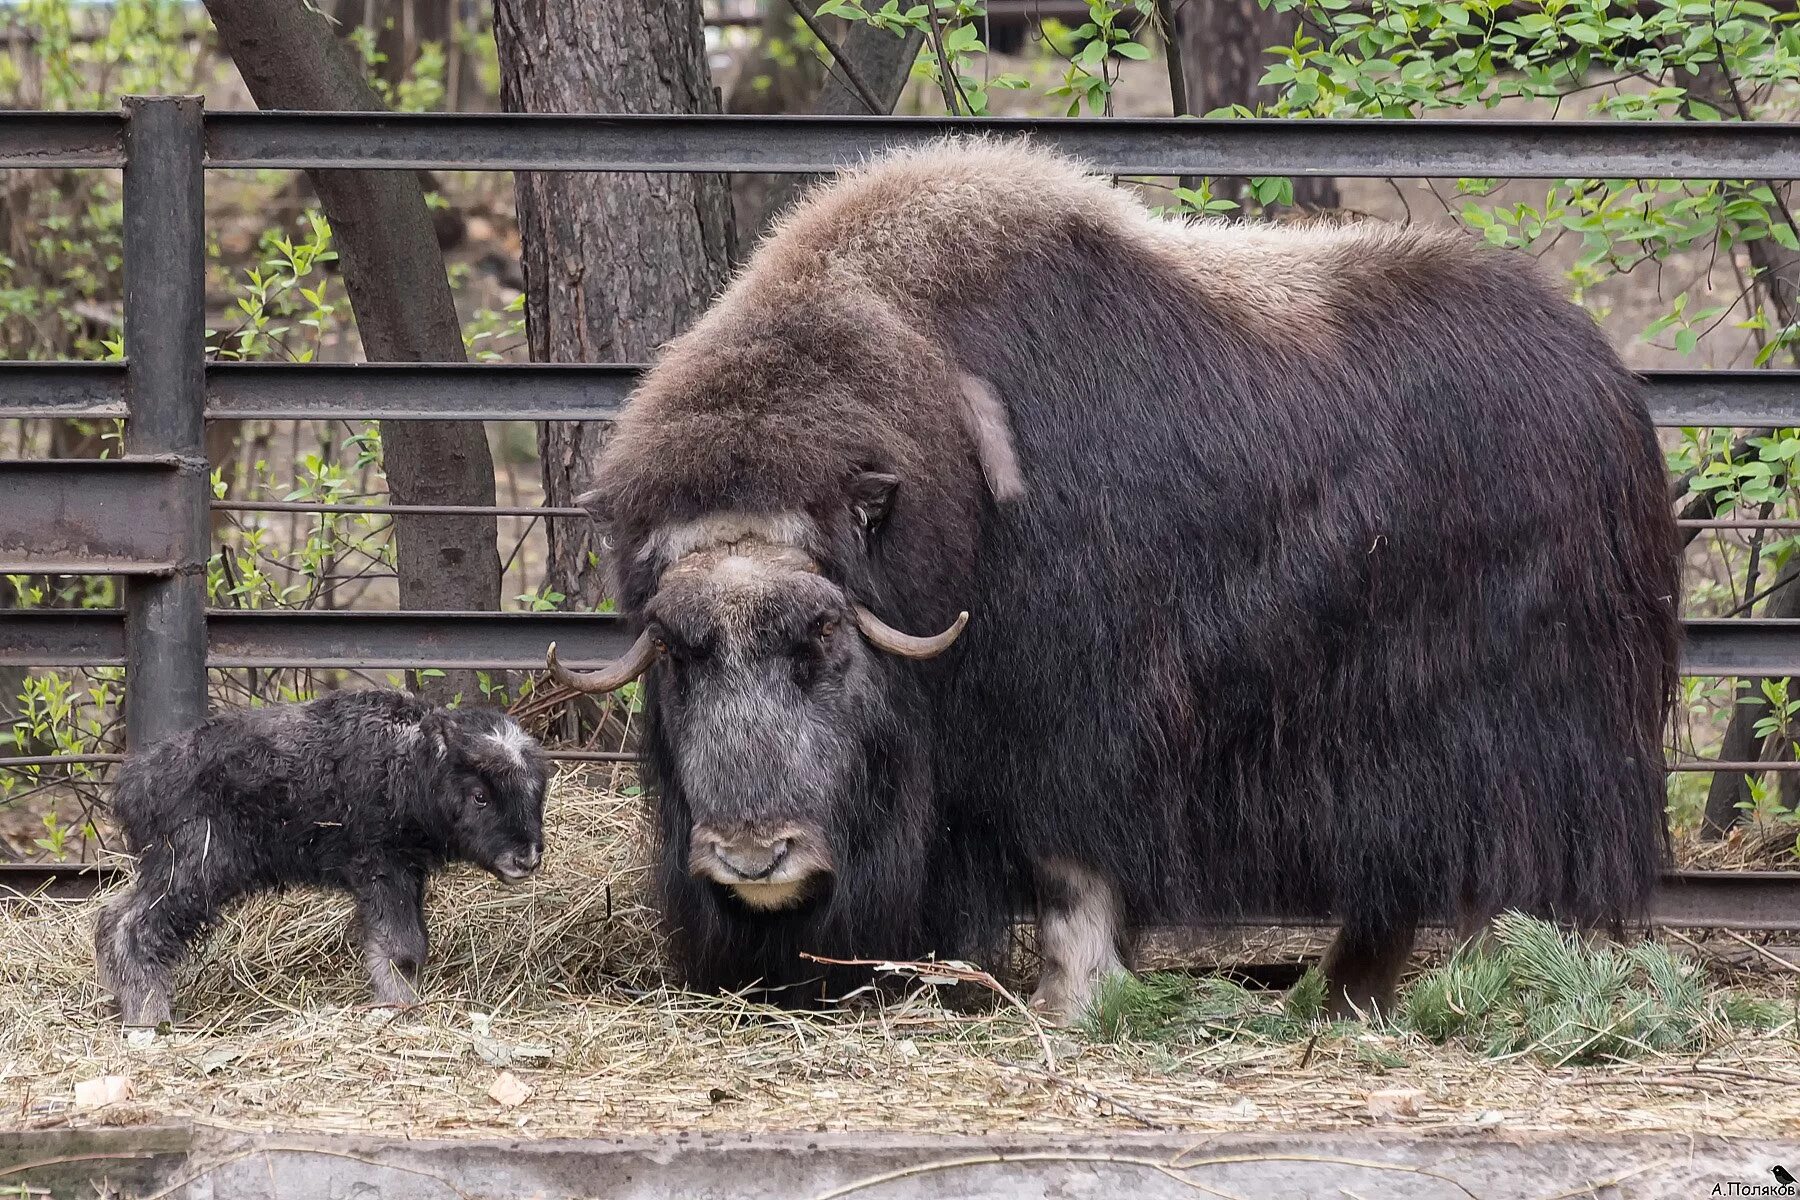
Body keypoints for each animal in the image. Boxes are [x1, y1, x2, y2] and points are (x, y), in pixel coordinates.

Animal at [94, 690, 543, 1029]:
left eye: (535, 791)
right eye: (480, 794)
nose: (527, 857)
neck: (410, 762)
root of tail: (135, 781)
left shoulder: (406, 875)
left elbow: (410, 945)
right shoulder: (383, 869)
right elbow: (399, 948)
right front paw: (400, 1008)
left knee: (111, 917)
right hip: (194, 871)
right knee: (135, 929)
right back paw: (150, 1018)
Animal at [543, 141, 1670, 1021]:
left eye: (821, 641)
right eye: (680, 652)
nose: (750, 856)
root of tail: (1602, 374)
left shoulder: (1078, 728)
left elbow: (1072, 869)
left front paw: (1071, 1003)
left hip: (1513, 722)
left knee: (1498, 853)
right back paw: (1347, 999)